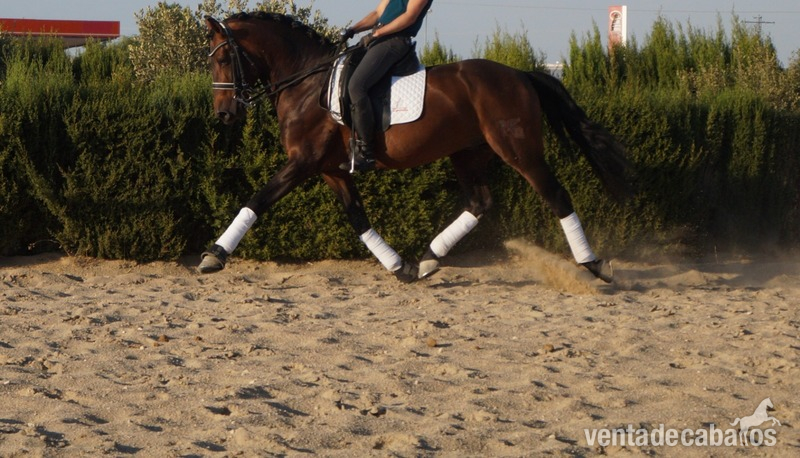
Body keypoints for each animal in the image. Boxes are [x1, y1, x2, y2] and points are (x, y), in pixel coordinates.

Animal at [199, 12, 631, 283]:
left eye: (223, 58)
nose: (224, 114)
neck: (307, 83)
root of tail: (520, 75)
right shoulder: (330, 169)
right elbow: (358, 218)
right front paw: (399, 268)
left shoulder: (302, 162)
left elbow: (257, 199)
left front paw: (214, 255)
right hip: (467, 154)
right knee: (480, 203)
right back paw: (427, 260)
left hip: (520, 151)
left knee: (557, 196)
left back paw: (594, 265)